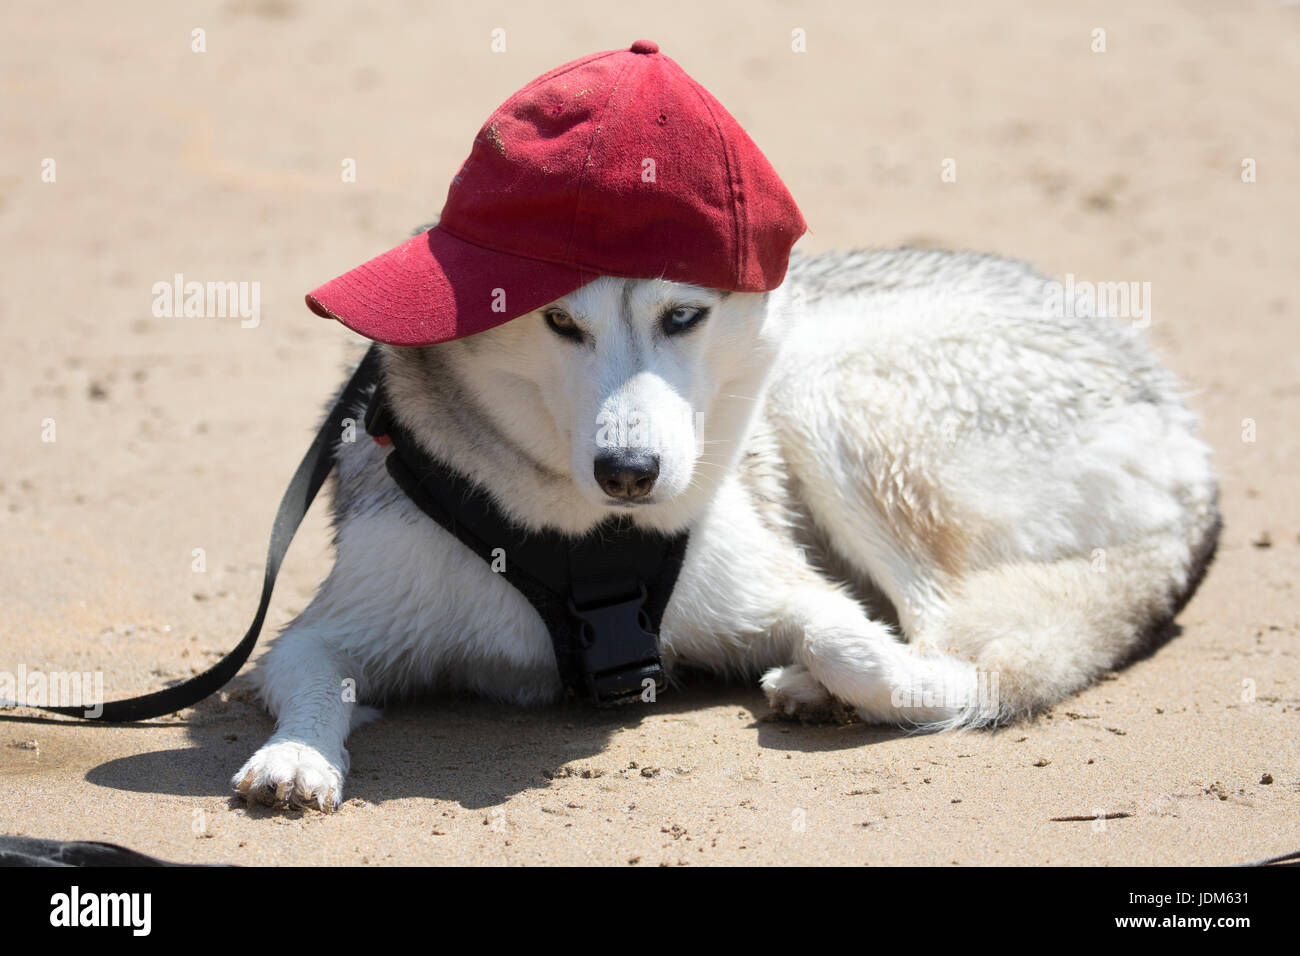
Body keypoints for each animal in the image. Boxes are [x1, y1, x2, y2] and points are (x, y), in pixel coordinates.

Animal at [231, 244, 1216, 806]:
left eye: (683, 316)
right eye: (559, 321)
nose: (631, 471)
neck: (575, 538)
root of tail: (1181, 421)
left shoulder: (786, 587)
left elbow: (850, 640)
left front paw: (836, 673)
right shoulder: (327, 630)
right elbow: (312, 679)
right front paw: (298, 757)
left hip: (821, 385)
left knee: (961, 643)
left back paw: (827, 690)